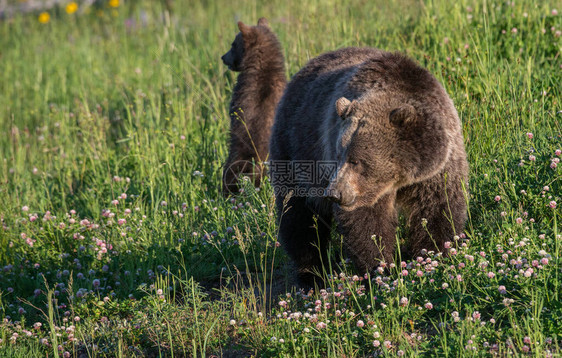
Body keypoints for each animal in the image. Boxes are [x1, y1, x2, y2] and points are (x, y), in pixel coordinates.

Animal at [270, 48, 466, 288]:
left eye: (356, 160)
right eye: (338, 155)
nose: (335, 193)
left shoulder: (438, 168)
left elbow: (438, 208)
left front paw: (434, 255)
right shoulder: (361, 188)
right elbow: (366, 223)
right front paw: (381, 269)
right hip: (294, 150)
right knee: (299, 217)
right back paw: (311, 275)